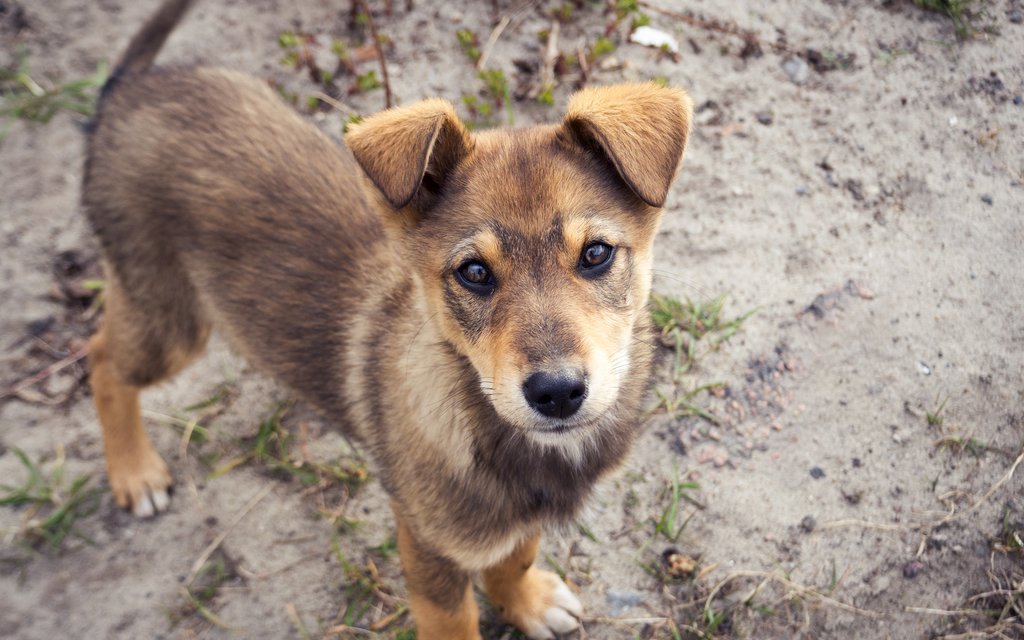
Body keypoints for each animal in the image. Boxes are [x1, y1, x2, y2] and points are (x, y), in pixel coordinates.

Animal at [86, 1, 696, 634]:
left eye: (596, 253)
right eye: (474, 272)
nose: (556, 393)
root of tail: (128, 88)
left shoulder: (510, 524)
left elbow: (516, 555)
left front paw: (525, 602)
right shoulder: (429, 543)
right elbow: (455, 622)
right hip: (168, 320)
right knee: (101, 358)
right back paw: (134, 472)